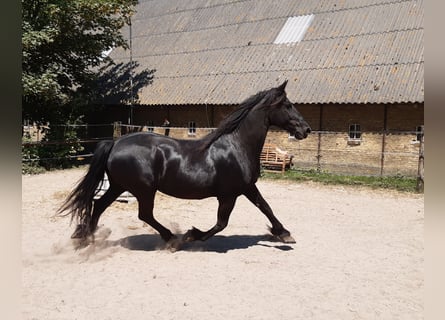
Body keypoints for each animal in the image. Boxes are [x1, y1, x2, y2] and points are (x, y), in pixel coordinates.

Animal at [58, 80, 308, 250]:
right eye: (287, 105)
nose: (305, 130)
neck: (237, 146)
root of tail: (116, 143)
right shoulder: (229, 195)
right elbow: (221, 224)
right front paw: (192, 234)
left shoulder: (247, 188)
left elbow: (265, 207)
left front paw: (284, 233)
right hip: (143, 190)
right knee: (143, 215)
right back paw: (172, 239)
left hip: (119, 186)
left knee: (99, 205)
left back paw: (86, 237)